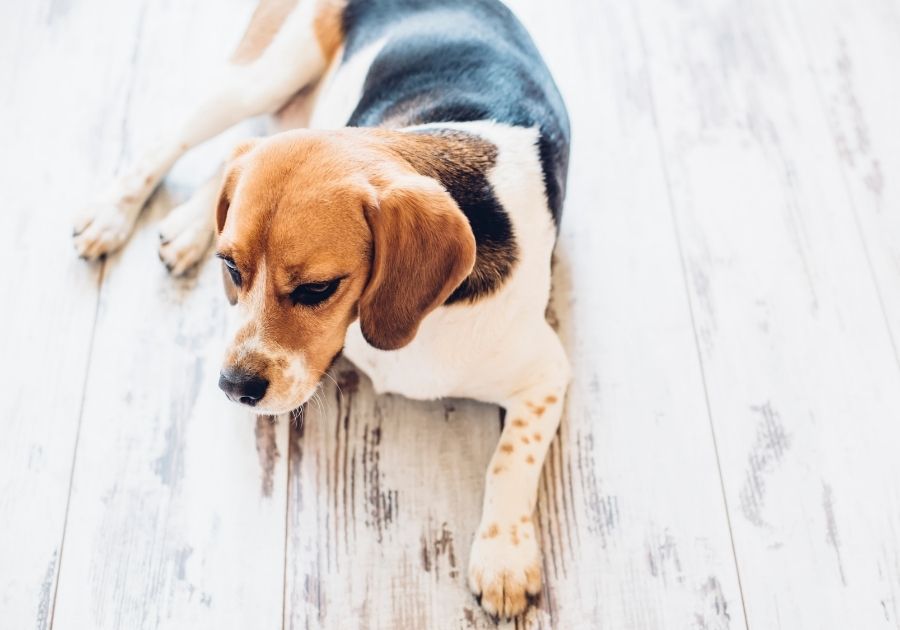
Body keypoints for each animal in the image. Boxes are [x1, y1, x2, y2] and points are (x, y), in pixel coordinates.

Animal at [75, 0, 568, 624]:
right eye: (230, 268)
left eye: (317, 289)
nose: (233, 387)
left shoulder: (547, 374)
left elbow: (511, 458)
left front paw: (504, 556)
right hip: (263, 75)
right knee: (180, 140)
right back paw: (116, 214)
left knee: (244, 150)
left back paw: (186, 225)